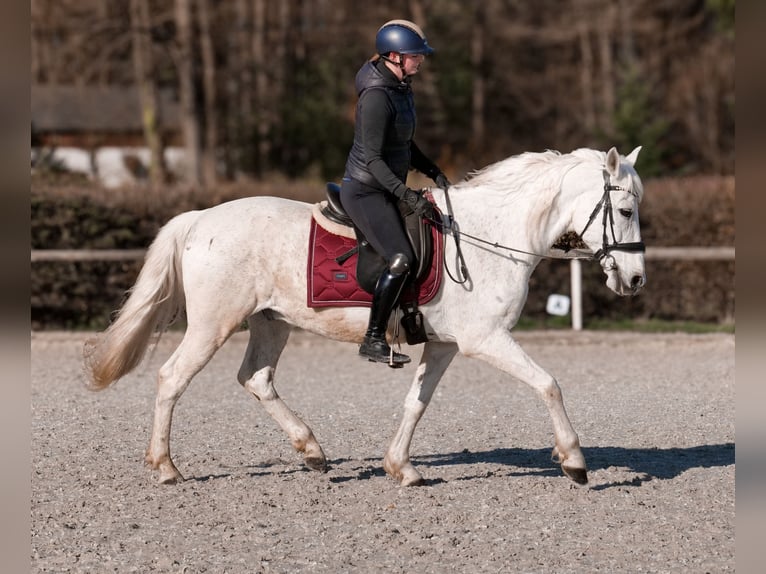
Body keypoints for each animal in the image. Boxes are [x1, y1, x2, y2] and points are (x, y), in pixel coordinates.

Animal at [84, 146, 646, 487]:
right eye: (624, 211)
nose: (636, 279)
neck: (492, 234)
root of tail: (201, 218)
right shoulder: (485, 339)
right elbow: (548, 384)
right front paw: (574, 460)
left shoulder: (446, 343)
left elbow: (417, 402)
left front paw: (401, 467)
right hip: (212, 324)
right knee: (172, 378)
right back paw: (166, 467)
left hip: (271, 321)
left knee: (256, 379)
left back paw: (311, 450)